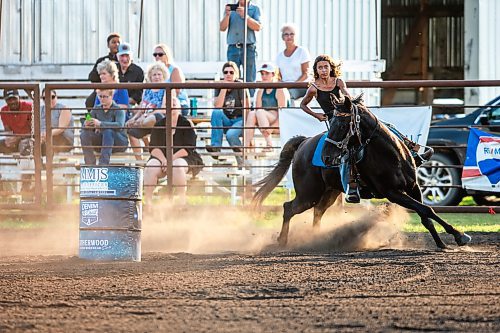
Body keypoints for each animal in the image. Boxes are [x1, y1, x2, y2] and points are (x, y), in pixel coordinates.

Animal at [254, 94, 472, 248]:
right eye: (332, 122)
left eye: (343, 124)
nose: (326, 157)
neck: (392, 155)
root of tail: (304, 143)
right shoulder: (392, 193)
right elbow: (426, 210)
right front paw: (460, 235)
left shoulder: (413, 187)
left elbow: (425, 214)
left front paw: (442, 243)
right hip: (308, 194)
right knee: (288, 208)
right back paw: (282, 241)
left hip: (328, 192)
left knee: (318, 212)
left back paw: (315, 238)